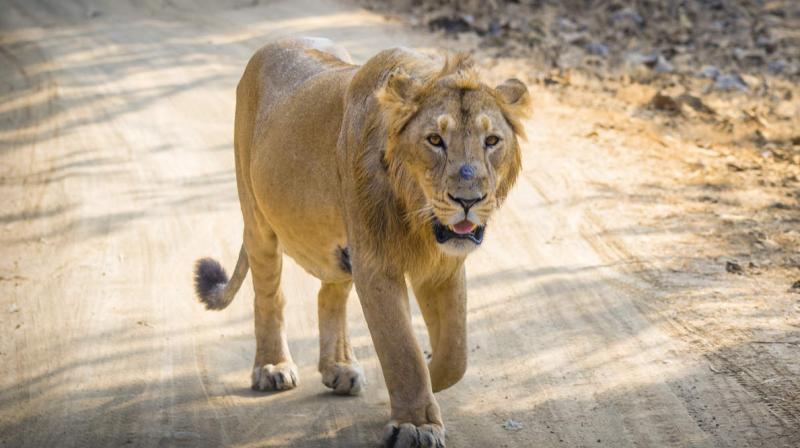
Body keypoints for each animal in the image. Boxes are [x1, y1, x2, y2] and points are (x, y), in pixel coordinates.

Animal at [193, 36, 528, 446]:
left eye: (491, 141)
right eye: (435, 140)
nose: (469, 200)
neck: (417, 216)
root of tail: (277, 42)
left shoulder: (442, 266)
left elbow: (456, 353)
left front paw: (430, 381)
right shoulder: (377, 264)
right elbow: (401, 348)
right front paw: (416, 423)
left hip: (342, 250)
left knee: (329, 295)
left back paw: (339, 367)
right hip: (257, 217)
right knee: (269, 296)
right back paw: (272, 368)